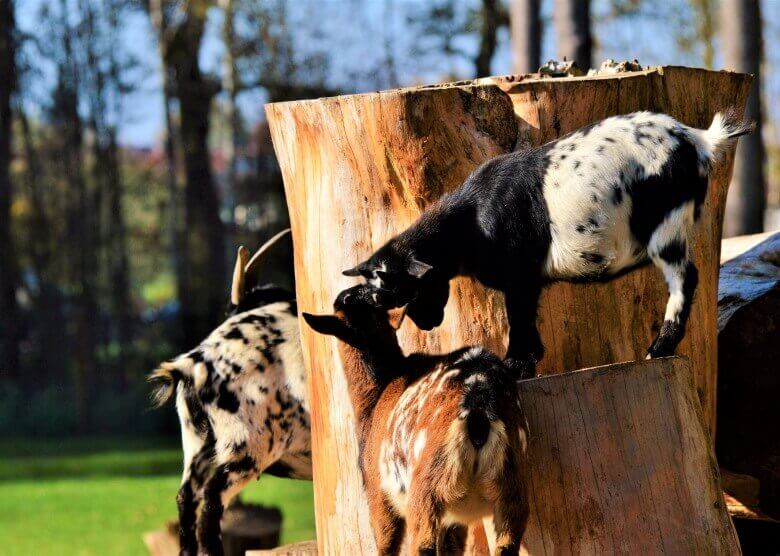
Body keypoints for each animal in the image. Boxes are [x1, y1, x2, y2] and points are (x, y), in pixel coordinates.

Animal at [304, 284, 532, 552]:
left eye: (342, 300)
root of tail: (479, 413)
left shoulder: (378, 492)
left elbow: (387, 545)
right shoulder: (455, 519)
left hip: (426, 487)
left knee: (422, 544)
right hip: (511, 487)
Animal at [344, 108, 752, 378]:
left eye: (397, 290)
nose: (425, 324)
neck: (471, 219)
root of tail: (700, 140)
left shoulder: (519, 275)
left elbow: (519, 318)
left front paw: (513, 366)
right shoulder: (527, 281)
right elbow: (527, 319)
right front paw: (527, 362)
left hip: (666, 227)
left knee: (686, 278)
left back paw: (659, 349)